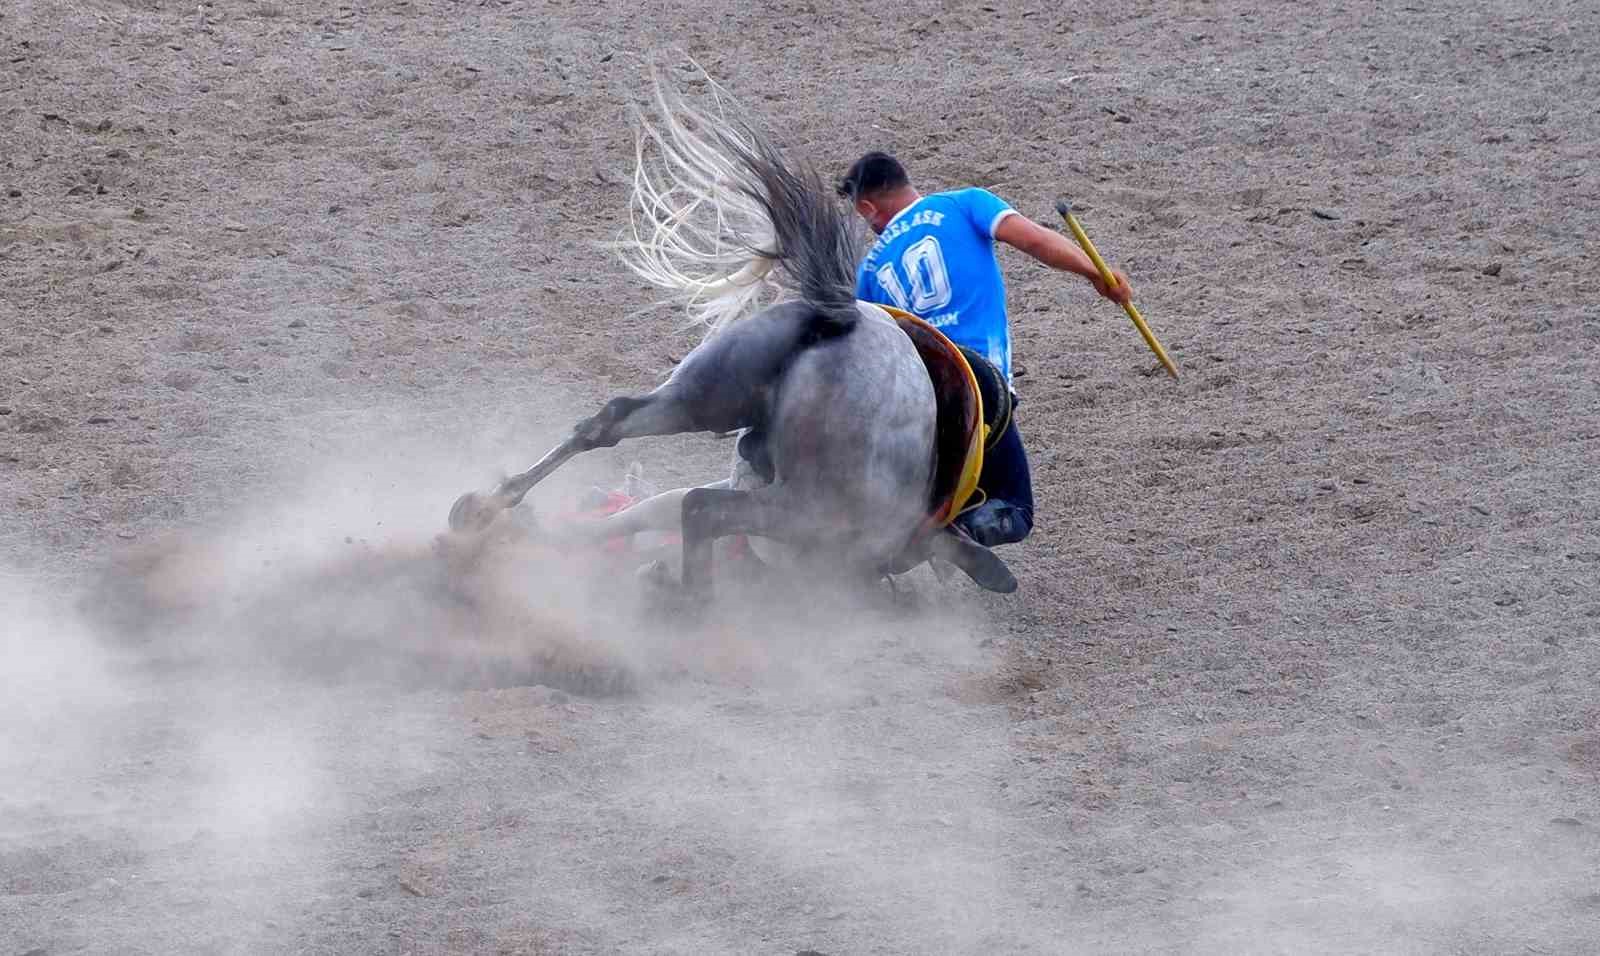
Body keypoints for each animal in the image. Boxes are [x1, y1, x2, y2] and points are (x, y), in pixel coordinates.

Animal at [444, 73, 1017, 601]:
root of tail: (842, 319)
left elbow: (631, 516)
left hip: (708, 392)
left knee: (612, 423)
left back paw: (485, 510)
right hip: (800, 506)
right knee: (702, 509)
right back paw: (686, 597)